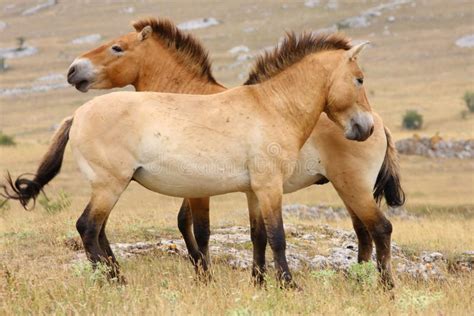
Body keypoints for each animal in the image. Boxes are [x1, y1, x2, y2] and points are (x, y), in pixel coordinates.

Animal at [1, 25, 376, 286]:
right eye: (359, 79)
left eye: (117, 47)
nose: (365, 127)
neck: (271, 106)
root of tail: (77, 114)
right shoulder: (268, 188)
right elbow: (276, 238)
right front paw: (288, 285)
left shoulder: (254, 190)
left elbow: (257, 237)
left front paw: (260, 284)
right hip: (109, 185)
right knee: (88, 227)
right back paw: (112, 281)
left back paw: (117, 276)